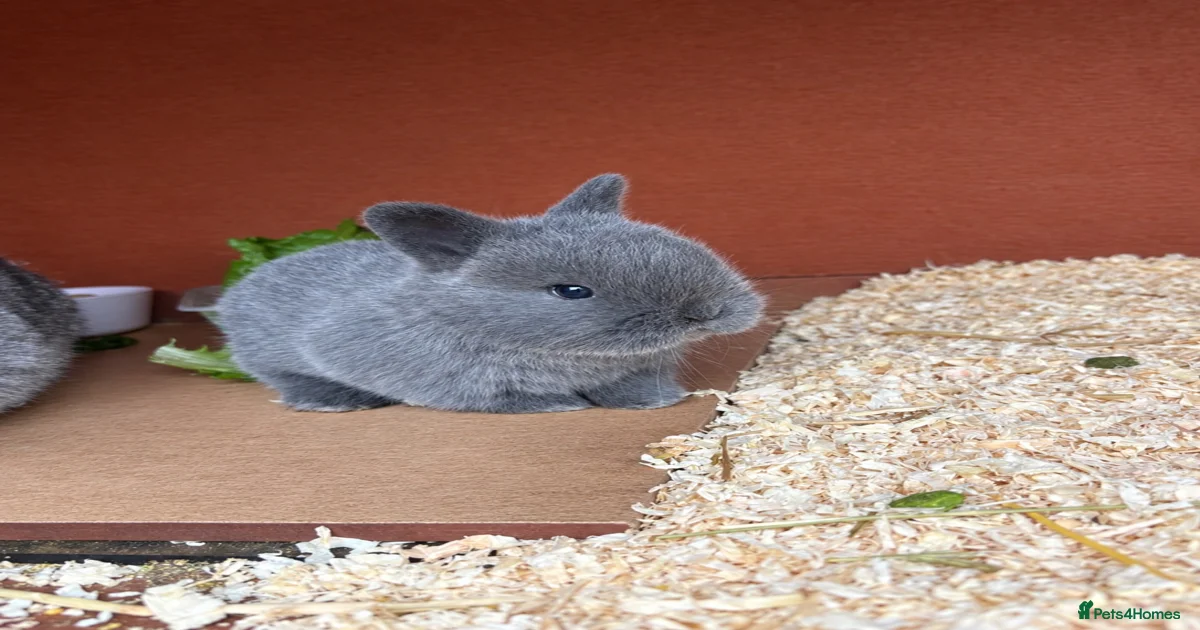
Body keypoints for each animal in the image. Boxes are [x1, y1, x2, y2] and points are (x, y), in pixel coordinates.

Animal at [216, 174, 765, 413]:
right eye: (571, 291)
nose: (707, 312)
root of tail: (232, 296)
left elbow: (630, 388)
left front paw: (656, 402)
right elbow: (499, 398)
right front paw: (555, 407)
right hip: (270, 357)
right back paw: (330, 402)